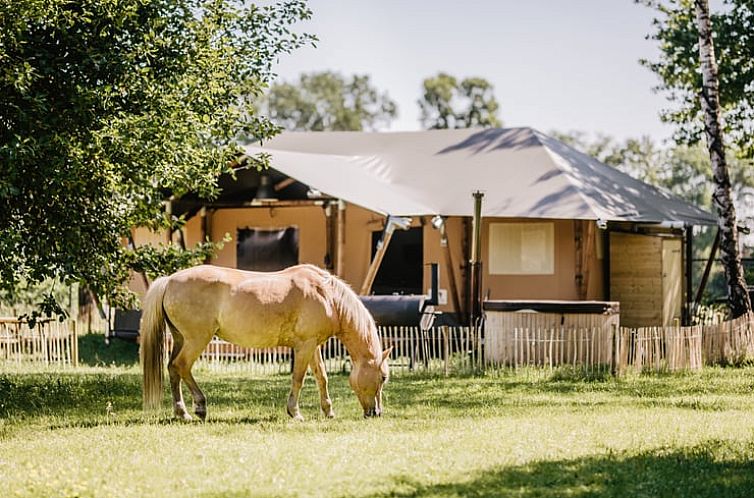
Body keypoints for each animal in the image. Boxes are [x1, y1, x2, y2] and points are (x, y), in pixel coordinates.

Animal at [139, 264, 394, 420]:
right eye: (383, 377)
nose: (376, 413)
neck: (326, 295)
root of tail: (170, 280)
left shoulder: (313, 346)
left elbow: (322, 377)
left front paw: (328, 412)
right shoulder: (304, 347)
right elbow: (299, 379)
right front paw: (295, 413)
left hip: (181, 339)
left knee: (173, 369)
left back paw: (182, 412)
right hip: (196, 340)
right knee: (181, 366)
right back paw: (199, 407)